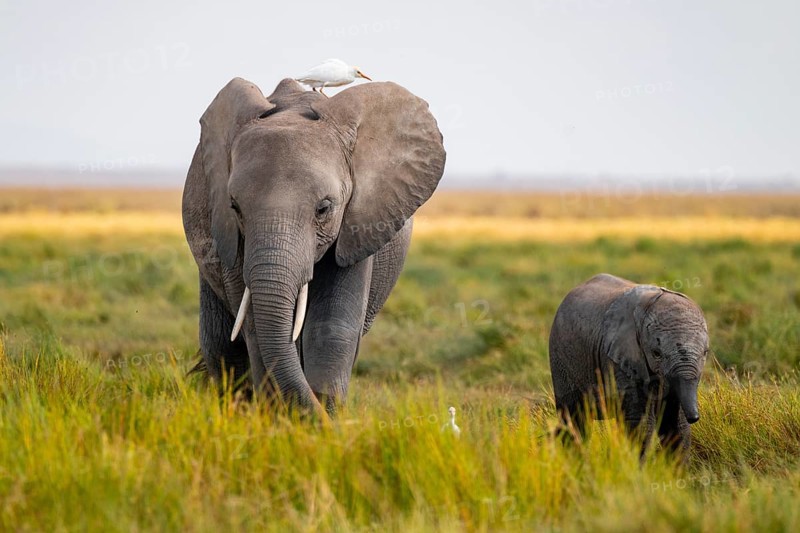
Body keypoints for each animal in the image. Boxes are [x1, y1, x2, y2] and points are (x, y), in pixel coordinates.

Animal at [182, 77, 446, 416]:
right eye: (235, 207)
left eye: (324, 208)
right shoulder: (231, 235)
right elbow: (254, 326)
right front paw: (280, 416)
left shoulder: (359, 221)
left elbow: (332, 325)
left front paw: (327, 417)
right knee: (221, 344)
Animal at [548, 273, 709, 454]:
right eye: (656, 353)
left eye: (705, 352)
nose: (695, 417)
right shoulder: (619, 358)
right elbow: (640, 423)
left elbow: (675, 424)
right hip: (560, 358)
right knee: (574, 419)